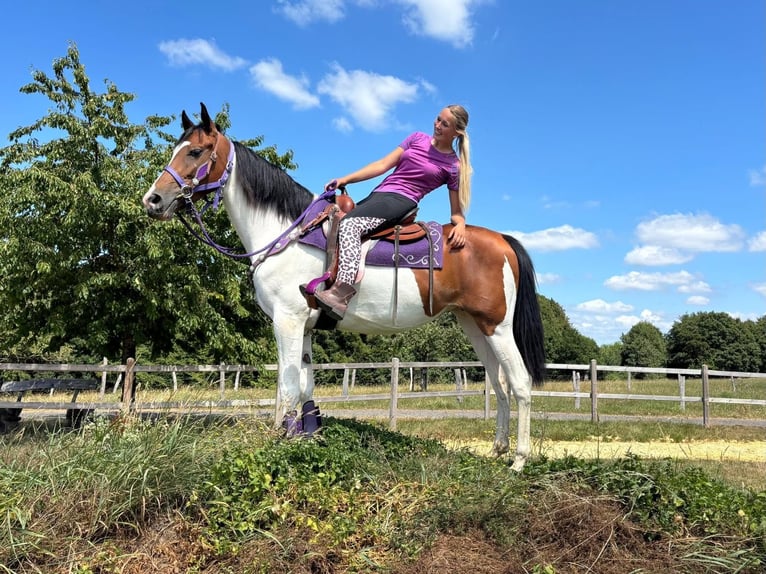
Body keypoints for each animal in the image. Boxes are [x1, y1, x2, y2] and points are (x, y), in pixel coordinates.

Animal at [142, 103, 546, 471]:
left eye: (195, 152)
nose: (152, 200)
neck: (286, 234)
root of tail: (503, 241)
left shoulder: (287, 321)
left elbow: (287, 386)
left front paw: (280, 443)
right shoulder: (304, 326)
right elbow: (305, 385)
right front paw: (307, 437)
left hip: (498, 327)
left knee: (520, 382)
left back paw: (519, 461)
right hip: (474, 326)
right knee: (500, 383)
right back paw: (498, 450)